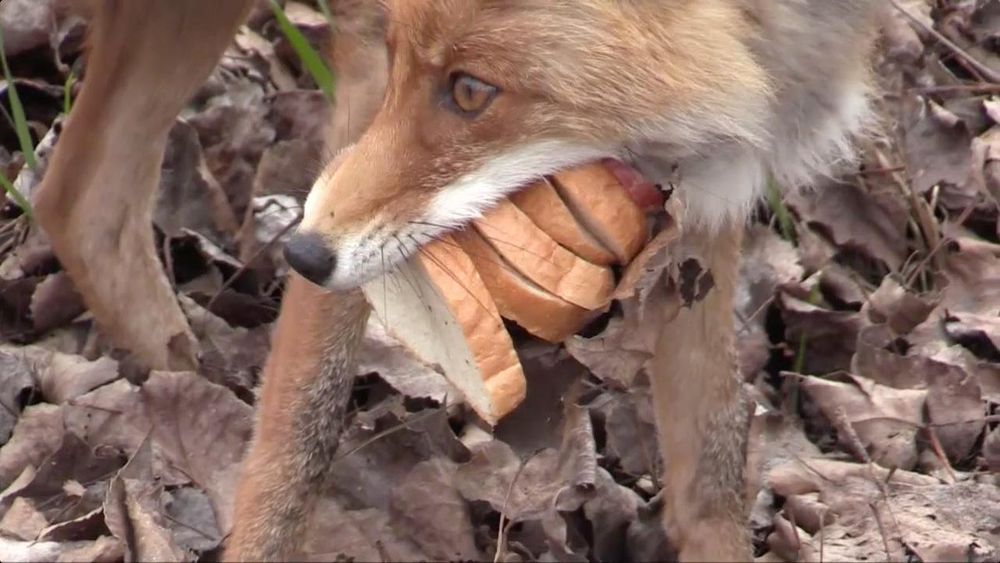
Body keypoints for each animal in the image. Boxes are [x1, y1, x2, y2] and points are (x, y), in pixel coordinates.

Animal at [27, 0, 882, 561]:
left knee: (76, 203)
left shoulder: (717, 177)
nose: (300, 253)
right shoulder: (366, 73)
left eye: (472, 91)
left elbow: (710, 462)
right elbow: (301, 434)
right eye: (405, 56)